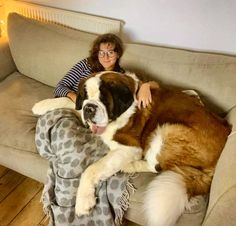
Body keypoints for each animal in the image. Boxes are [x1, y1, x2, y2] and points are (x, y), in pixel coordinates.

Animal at [32, 71, 231, 226]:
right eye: (85, 96)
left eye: (104, 99)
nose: (89, 107)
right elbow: (68, 102)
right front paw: (41, 105)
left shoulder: (130, 147)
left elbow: (92, 169)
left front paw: (83, 201)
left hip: (167, 130)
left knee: (155, 166)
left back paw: (128, 167)